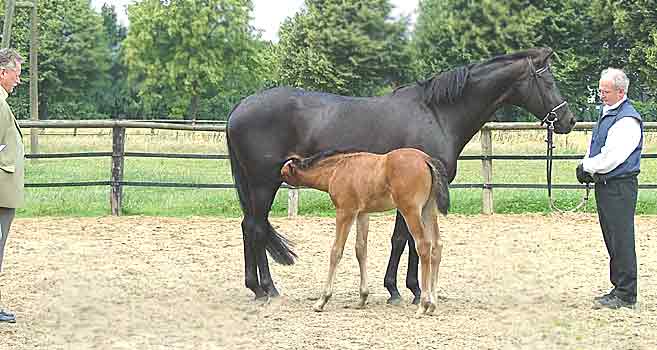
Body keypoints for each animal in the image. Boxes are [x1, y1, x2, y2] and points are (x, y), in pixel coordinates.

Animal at [280, 146, 448, 316]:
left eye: (283, 173)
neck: (336, 170)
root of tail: (426, 159)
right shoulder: (362, 213)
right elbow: (361, 249)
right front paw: (362, 298)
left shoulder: (345, 212)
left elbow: (336, 251)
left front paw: (322, 300)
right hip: (428, 209)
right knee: (437, 245)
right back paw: (432, 304)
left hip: (410, 210)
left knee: (424, 245)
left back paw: (423, 304)